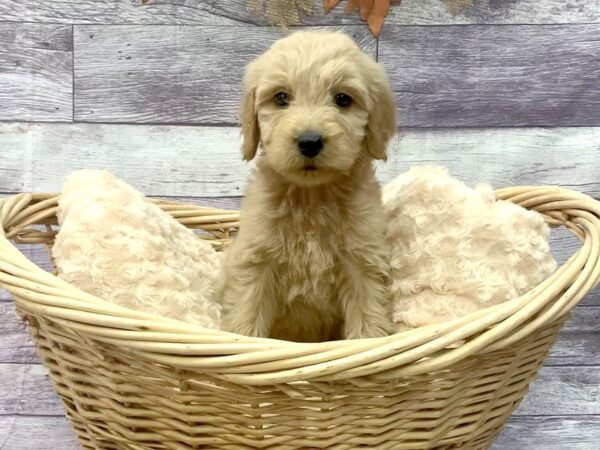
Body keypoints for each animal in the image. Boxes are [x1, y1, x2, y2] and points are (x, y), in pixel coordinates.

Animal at [218, 31, 396, 342]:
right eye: (281, 98)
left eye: (342, 99)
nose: (310, 141)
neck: (312, 196)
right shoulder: (255, 262)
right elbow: (246, 316)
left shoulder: (364, 262)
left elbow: (369, 318)